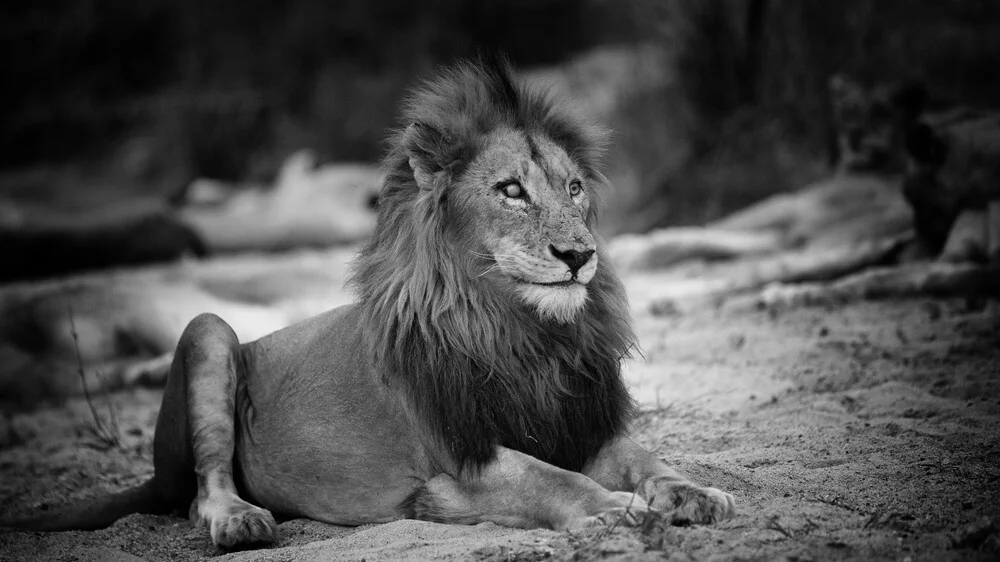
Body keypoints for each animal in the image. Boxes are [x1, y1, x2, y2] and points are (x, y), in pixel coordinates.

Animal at [7, 55, 736, 548]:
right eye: (511, 191)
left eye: (575, 188)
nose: (580, 255)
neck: (522, 333)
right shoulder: (459, 459)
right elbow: (548, 479)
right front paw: (616, 509)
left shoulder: (581, 424)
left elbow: (649, 459)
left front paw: (698, 494)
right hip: (210, 331)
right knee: (199, 491)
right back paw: (241, 521)